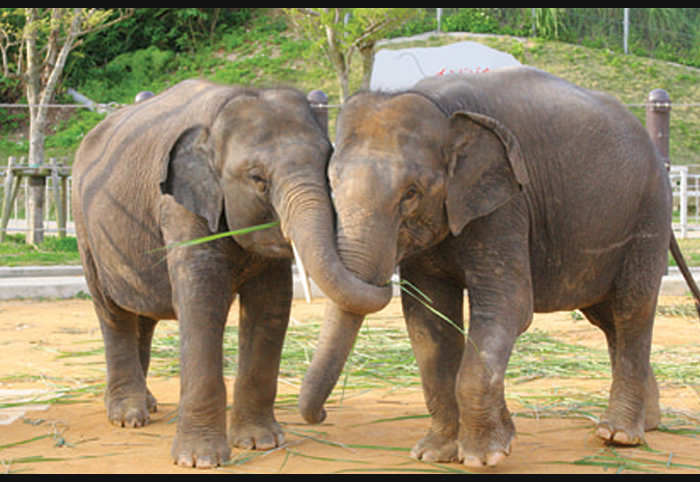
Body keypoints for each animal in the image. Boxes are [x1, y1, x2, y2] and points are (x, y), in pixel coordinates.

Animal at [73, 78, 392, 466]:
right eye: (257, 179)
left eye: (327, 170)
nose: (324, 415)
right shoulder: (180, 206)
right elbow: (202, 302)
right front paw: (200, 460)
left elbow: (271, 304)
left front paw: (261, 443)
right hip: (86, 228)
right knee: (112, 311)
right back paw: (128, 416)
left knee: (142, 313)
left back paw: (146, 405)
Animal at [298, 66, 700, 468]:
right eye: (331, 183)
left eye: (411, 193)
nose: (323, 415)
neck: (441, 106)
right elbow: (427, 318)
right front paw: (436, 453)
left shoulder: (506, 205)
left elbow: (507, 306)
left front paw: (483, 456)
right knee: (607, 319)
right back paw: (646, 423)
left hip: (648, 214)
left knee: (632, 308)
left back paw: (619, 436)